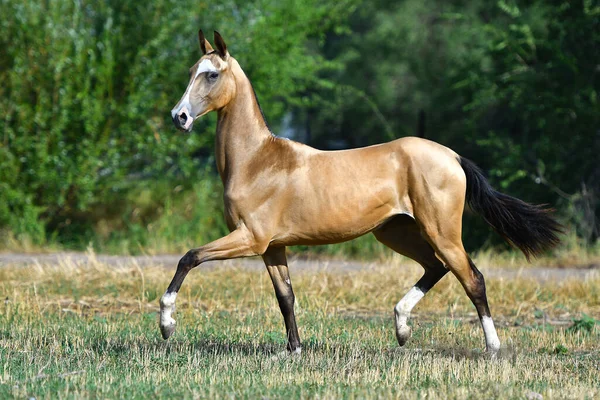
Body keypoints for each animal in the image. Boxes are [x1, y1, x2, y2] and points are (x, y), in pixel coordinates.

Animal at [161, 32, 564, 356]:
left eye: (212, 74)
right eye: (191, 71)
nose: (179, 116)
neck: (256, 162)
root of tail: (452, 156)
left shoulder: (250, 238)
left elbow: (189, 257)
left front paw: (166, 324)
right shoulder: (273, 247)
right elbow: (286, 297)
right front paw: (293, 351)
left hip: (441, 232)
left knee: (472, 278)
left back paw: (492, 347)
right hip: (395, 232)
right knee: (436, 267)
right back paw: (401, 329)